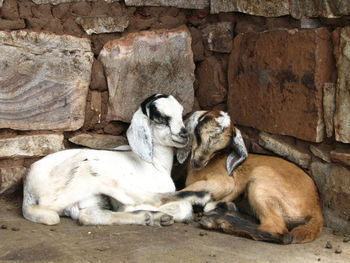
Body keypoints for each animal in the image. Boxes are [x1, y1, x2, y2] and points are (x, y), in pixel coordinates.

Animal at [23, 95, 213, 227]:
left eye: (180, 113)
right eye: (160, 119)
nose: (184, 135)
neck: (155, 164)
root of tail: (29, 191)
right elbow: (182, 207)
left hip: (85, 198)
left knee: (89, 217)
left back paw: (152, 217)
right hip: (93, 170)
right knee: (151, 199)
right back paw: (195, 197)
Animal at [176, 111, 324, 245]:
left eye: (219, 149)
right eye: (198, 134)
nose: (198, 163)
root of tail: (316, 207)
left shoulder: (225, 181)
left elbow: (185, 191)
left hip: (260, 180)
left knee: (278, 231)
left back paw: (217, 221)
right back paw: (225, 211)